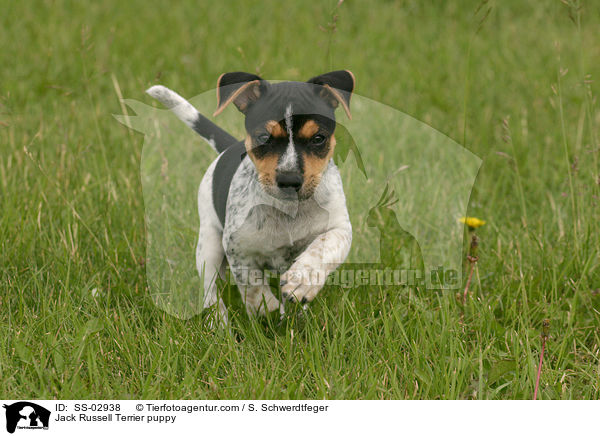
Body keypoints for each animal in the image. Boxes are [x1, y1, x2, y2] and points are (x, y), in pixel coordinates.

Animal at [147, 70, 354, 324]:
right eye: (263, 137)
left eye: (318, 138)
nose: (289, 180)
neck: (288, 210)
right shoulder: (237, 246)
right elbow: (252, 285)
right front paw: (267, 309)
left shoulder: (340, 227)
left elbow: (323, 248)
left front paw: (302, 282)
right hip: (209, 243)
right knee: (210, 288)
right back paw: (218, 322)